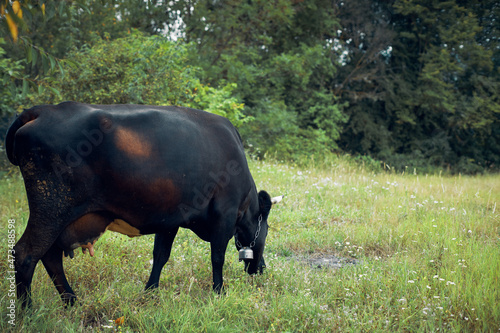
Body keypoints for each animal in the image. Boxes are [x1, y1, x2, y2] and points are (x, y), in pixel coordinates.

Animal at [4, 101, 282, 306]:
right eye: (266, 231)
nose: (261, 270)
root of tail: (44, 109)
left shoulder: (170, 219)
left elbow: (160, 255)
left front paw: (150, 292)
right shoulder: (224, 214)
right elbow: (217, 256)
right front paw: (219, 292)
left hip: (57, 217)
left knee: (50, 257)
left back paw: (72, 302)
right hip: (51, 209)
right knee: (26, 255)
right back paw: (28, 311)